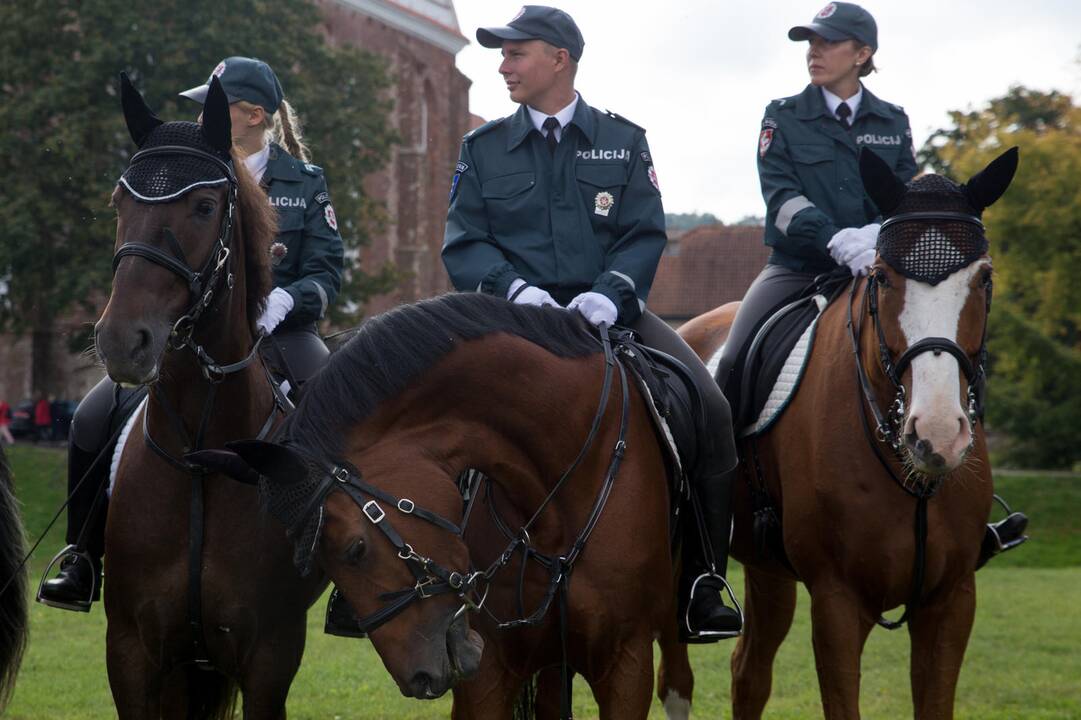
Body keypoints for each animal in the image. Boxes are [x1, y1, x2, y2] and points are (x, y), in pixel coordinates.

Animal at [94, 75, 324, 713]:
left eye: (203, 206)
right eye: (119, 203)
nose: (122, 341)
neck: (200, 455)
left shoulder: (271, 655)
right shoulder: (131, 650)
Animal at [674, 147, 1020, 717]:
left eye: (985, 279)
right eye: (881, 276)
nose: (936, 434)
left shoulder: (951, 601)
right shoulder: (837, 601)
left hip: (768, 571)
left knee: (749, 672)